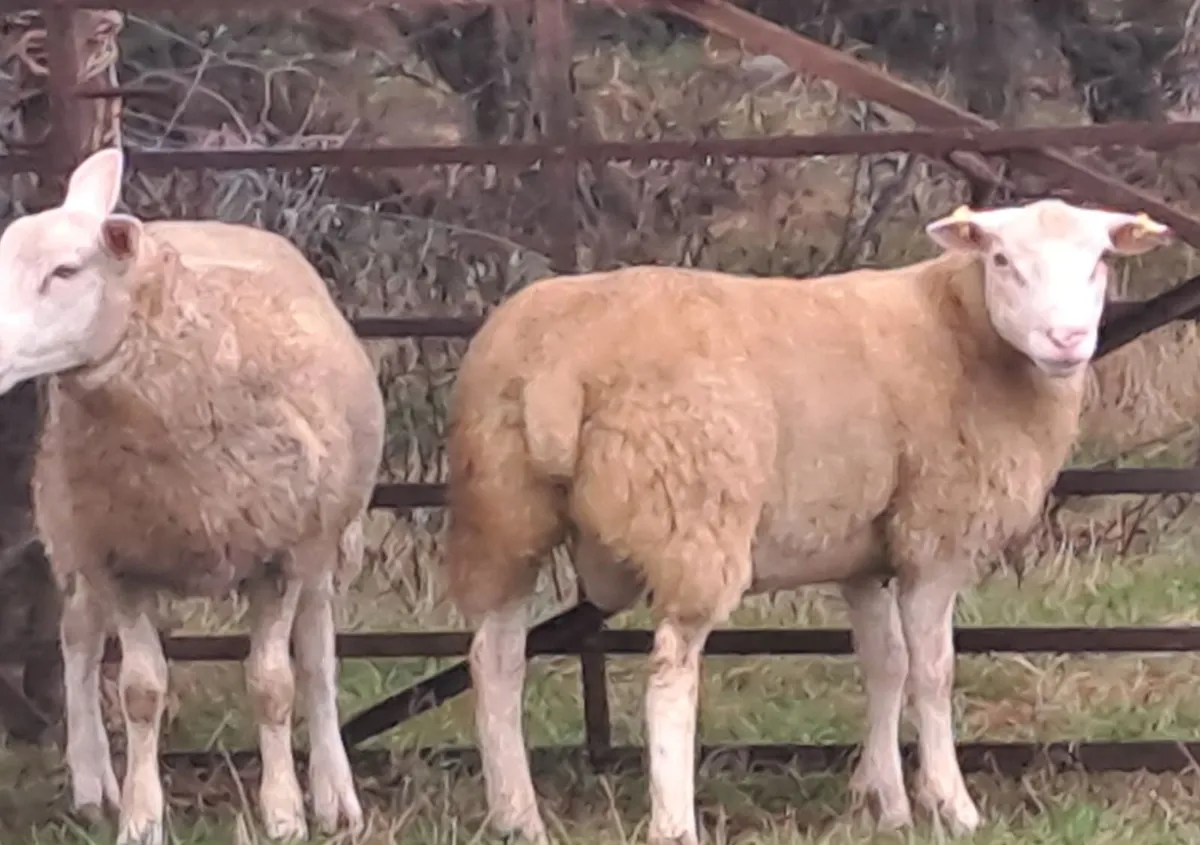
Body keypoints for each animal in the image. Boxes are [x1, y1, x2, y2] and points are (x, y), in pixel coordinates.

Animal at [0, 147, 386, 845]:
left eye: (65, 270)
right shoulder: (117, 557)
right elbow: (141, 691)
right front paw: (139, 816)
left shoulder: (282, 556)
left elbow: (273, 684)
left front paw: (284, 813)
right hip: (73, 530)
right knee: (77, 638)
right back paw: (93, 783)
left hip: (325, 540)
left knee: (318, 657)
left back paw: (335, 795)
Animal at [443, 198, 1175, 844]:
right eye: (1001, 259)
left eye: (1101, 260)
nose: (1067, 339)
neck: (959, 328)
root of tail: (559, 370)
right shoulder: (935, 534)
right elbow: (933, 669)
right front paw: (951, 803)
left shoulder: (864, 552)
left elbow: (884, 663)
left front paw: (885, 802)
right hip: (692, 512)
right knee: (670, 675)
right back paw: (673, 824)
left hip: (501, 512)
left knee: (495, 658)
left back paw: (516, 818)